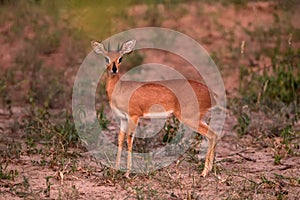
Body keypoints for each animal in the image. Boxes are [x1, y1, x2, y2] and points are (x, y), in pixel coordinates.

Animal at [91, 39, 218, 177]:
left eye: (120, 58)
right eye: (106, 58)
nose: (114, 69)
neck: (120, 89)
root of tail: (211, 94)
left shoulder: (134, 116)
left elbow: (129, 140)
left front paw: (127, 173)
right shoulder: (123, 118)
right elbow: (120, 140)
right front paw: (115, 170)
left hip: (190, 118)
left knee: (211, 135)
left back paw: (204, 172)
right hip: (198, 118)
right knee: (215, 134)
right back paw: (209, 170)